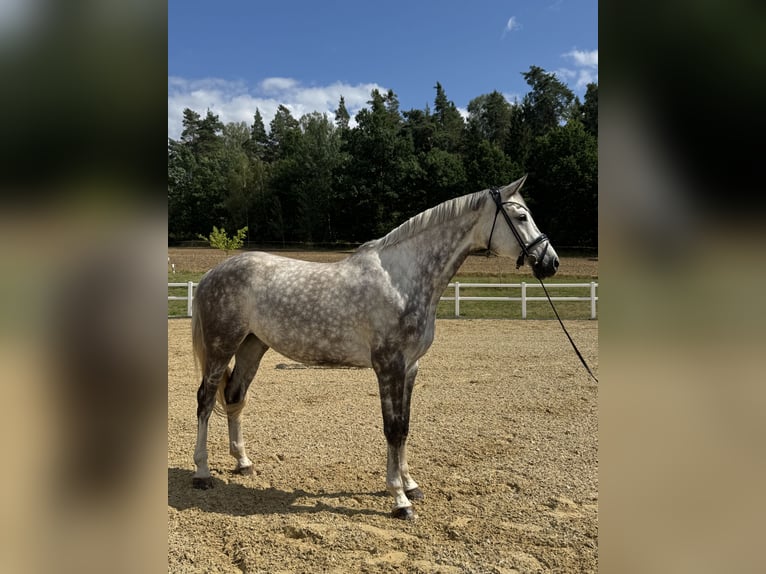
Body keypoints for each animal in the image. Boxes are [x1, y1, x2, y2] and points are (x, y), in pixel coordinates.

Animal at [190, 175, 559, 519]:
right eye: (521, 216)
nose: (550, 262)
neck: (403, 280)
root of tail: (211, 274)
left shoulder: (410, 367)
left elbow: (405, 427)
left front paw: (410, 485)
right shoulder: (388, 366)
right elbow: (392, 429)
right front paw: (399, 500)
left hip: (252, 347)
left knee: (234, 396)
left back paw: (243, 462)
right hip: (222, 347)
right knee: (205, 401)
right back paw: (202, 473)